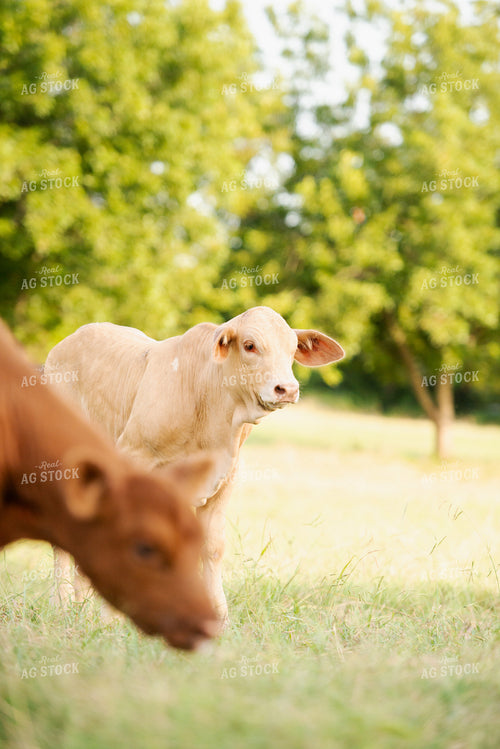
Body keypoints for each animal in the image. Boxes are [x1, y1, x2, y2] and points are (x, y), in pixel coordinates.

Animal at [45, 306, 345, 622]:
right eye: (250, 345)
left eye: (292, 349)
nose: (286, 388)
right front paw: (111, 618)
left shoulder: (225, 481)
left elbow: (212, 547)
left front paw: (218, 617)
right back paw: (62, 604)